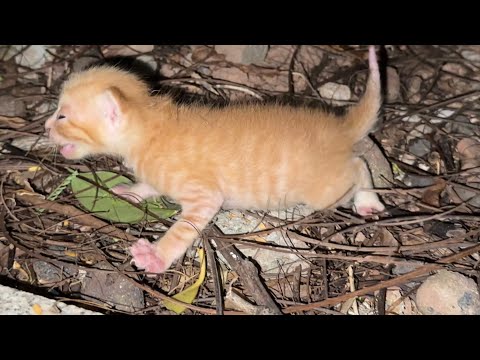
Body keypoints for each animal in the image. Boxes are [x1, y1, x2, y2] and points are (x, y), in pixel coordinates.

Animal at [46, 46, 386, 274]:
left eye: (63, 116)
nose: (46, 126)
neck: (148, 128)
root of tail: (339, 127)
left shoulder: (204, 197)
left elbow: (183, 230)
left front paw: (156, 256)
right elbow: (148, 186)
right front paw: (130, 192)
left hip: (325, 192)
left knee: (359, 167)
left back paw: (369, 200)